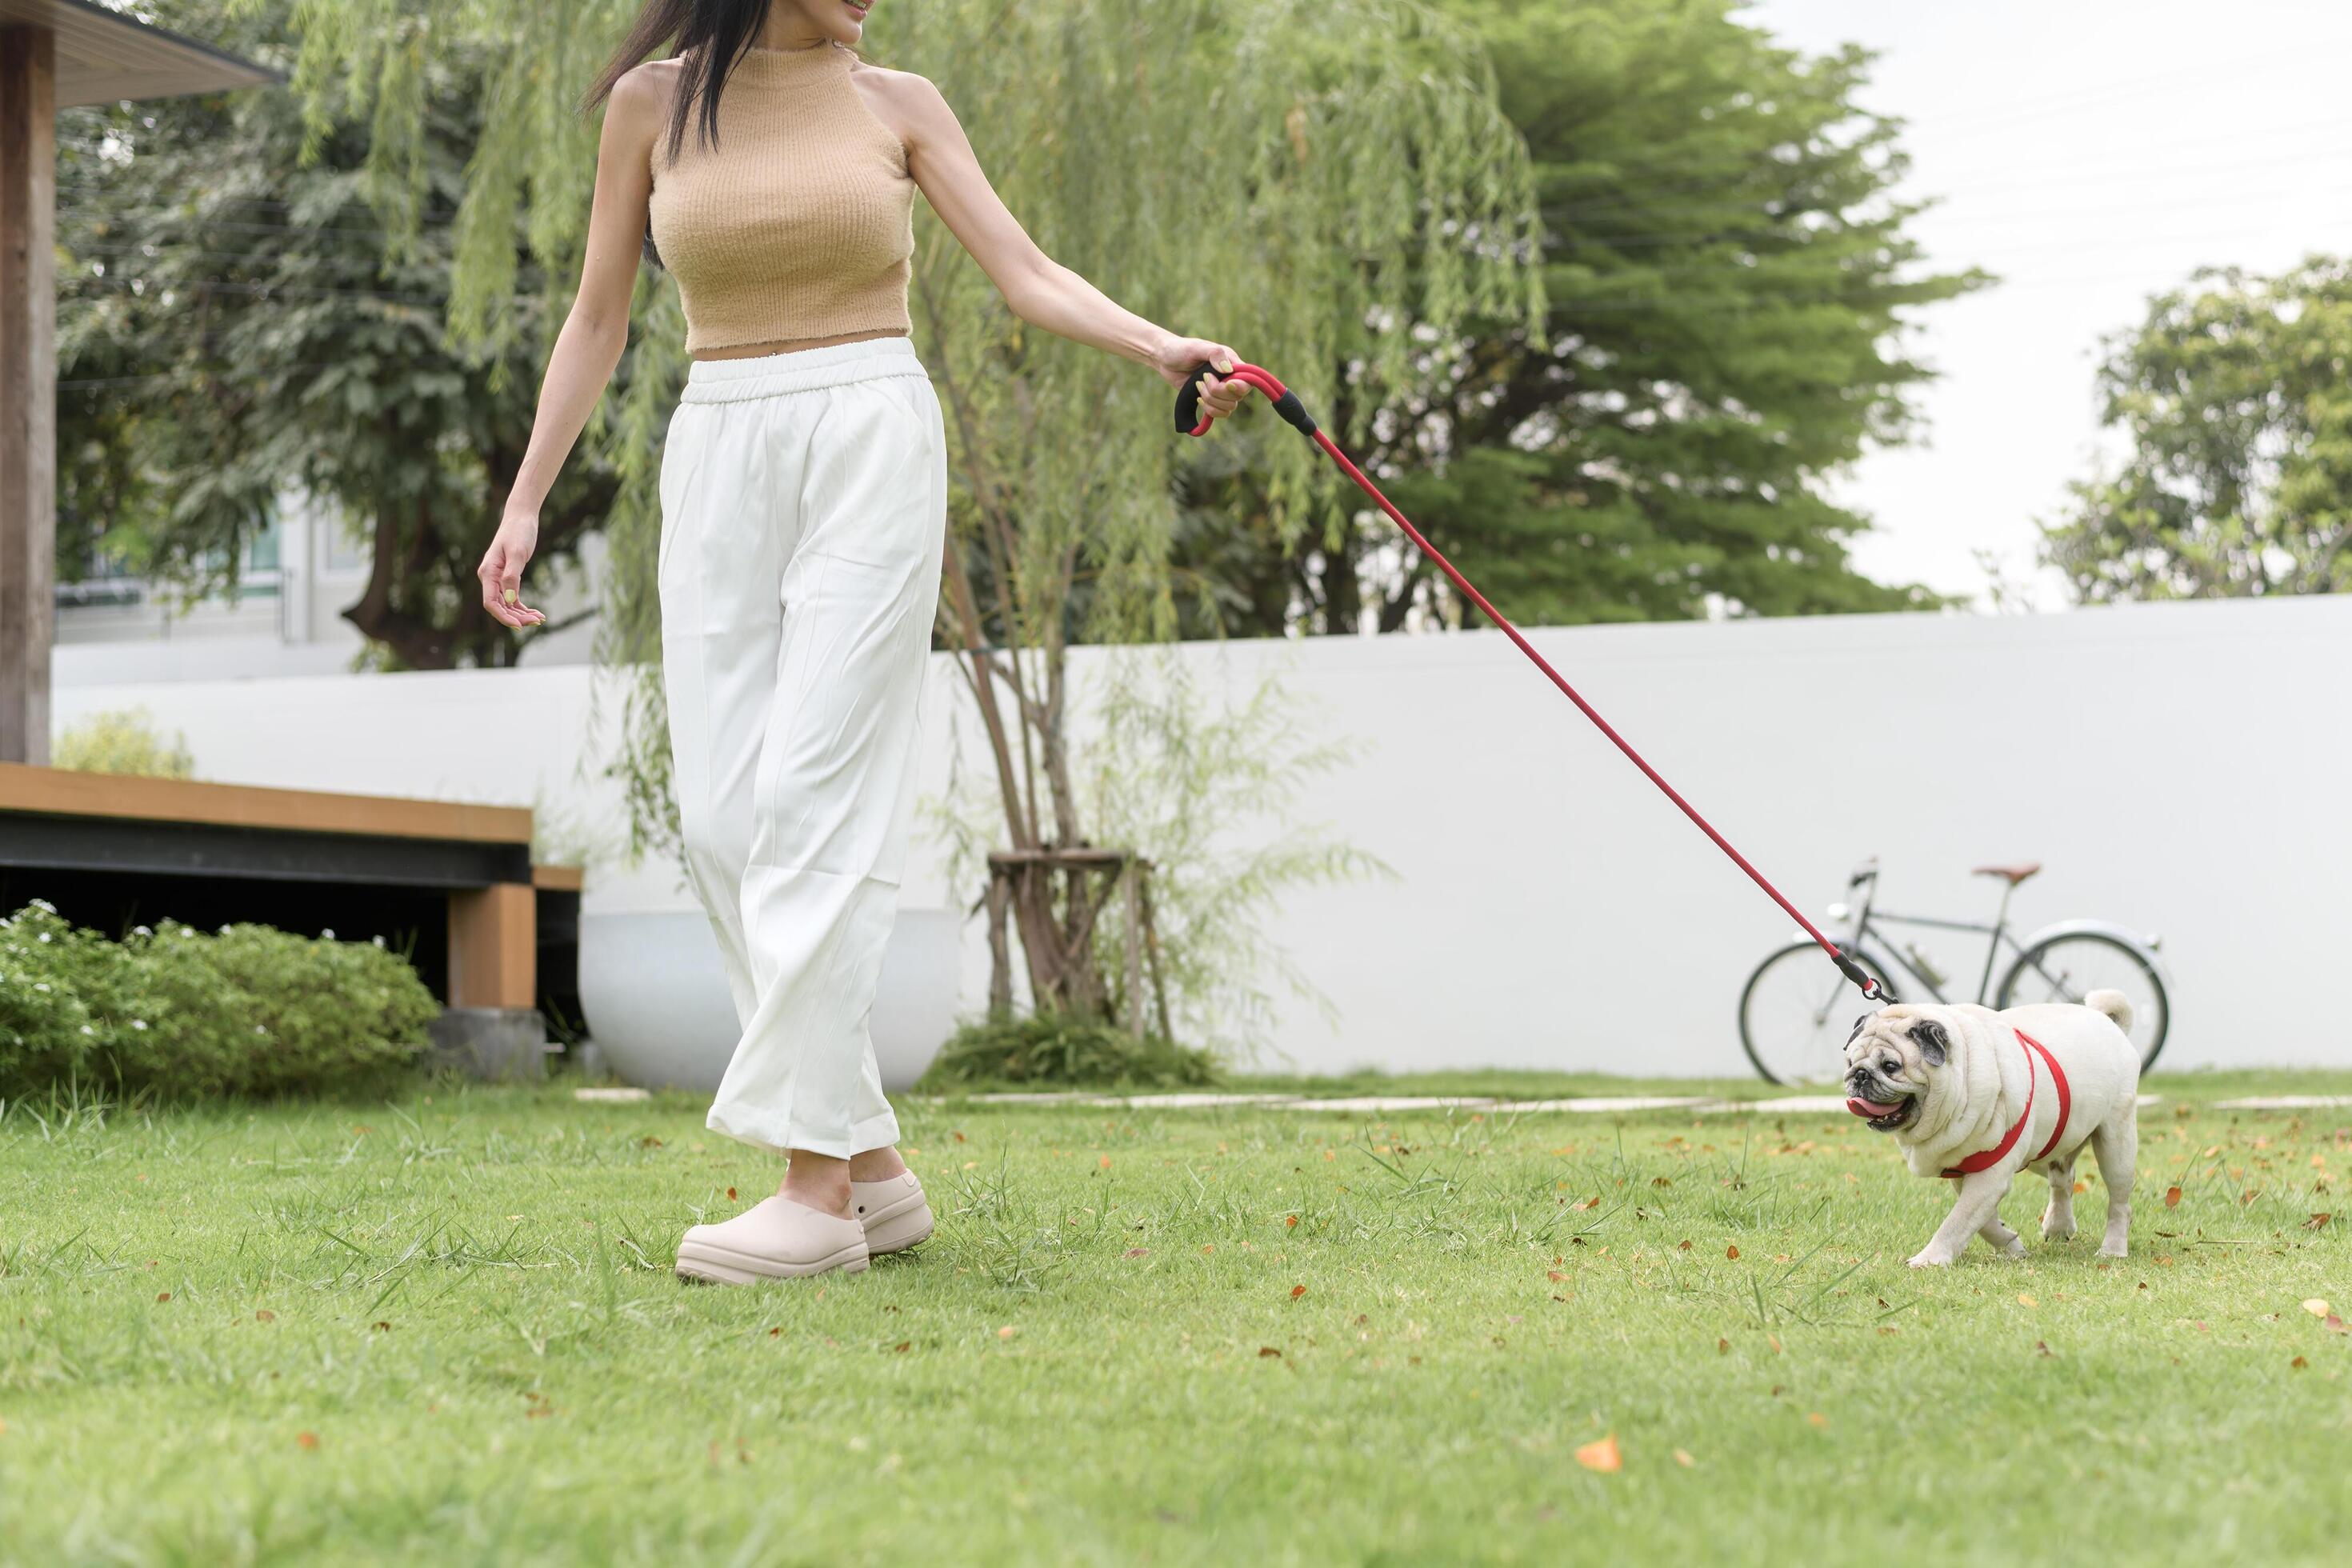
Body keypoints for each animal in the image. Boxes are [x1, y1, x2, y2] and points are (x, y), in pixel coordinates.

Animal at [1843, 1001, 2145, 1269]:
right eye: (1849, 1062)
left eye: (1891, 1066)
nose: (1859, 1075)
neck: (1962, 1078)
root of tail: (2106, 1020)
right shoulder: (1964, 1168)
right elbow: (1983, 1223)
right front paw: (2012, 1245)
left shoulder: (1990, 1178)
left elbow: (1957, 1221)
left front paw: (1930, 1260)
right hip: (2050, 1149)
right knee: (2063, 1178)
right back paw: (2059, 1226)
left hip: (2115, 1145)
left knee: (2120, 1203)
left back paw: (2113, 1250)